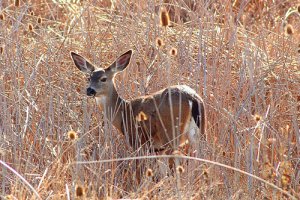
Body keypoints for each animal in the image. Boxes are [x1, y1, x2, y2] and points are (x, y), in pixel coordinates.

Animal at [71, 49, 205, 158]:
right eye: (88, 78)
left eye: (103, 78)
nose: (90, 90)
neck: (123, 111)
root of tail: (192, 98)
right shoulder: (156, 147)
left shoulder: (137, 141)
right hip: (199, 132)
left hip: (170, 133)